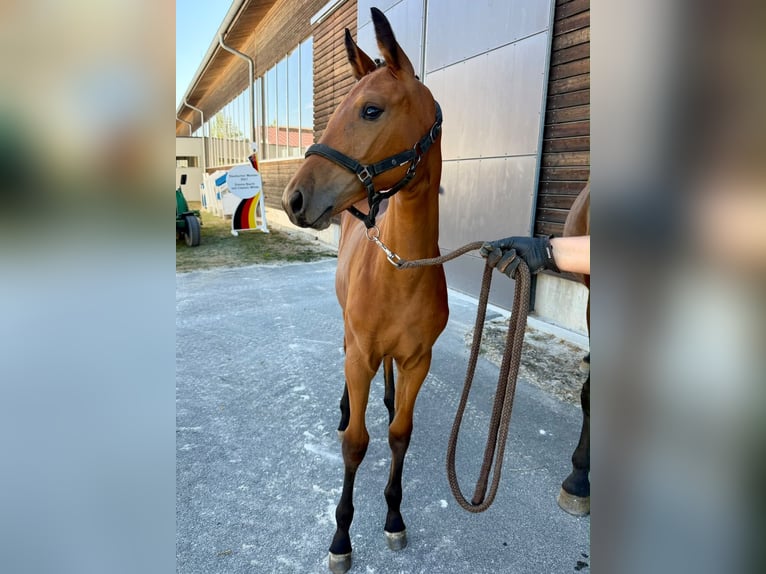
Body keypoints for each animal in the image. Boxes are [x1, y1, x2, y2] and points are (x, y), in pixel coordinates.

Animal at [281, 8, 447, 573]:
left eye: (371, 110)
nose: (294, 198)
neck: (401, 269)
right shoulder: (360, 353)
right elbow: (356, 445)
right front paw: (341, 537)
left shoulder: (419, 359)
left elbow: (399, 435)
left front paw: (394, 517)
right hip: (350, 338)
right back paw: (343, 408)